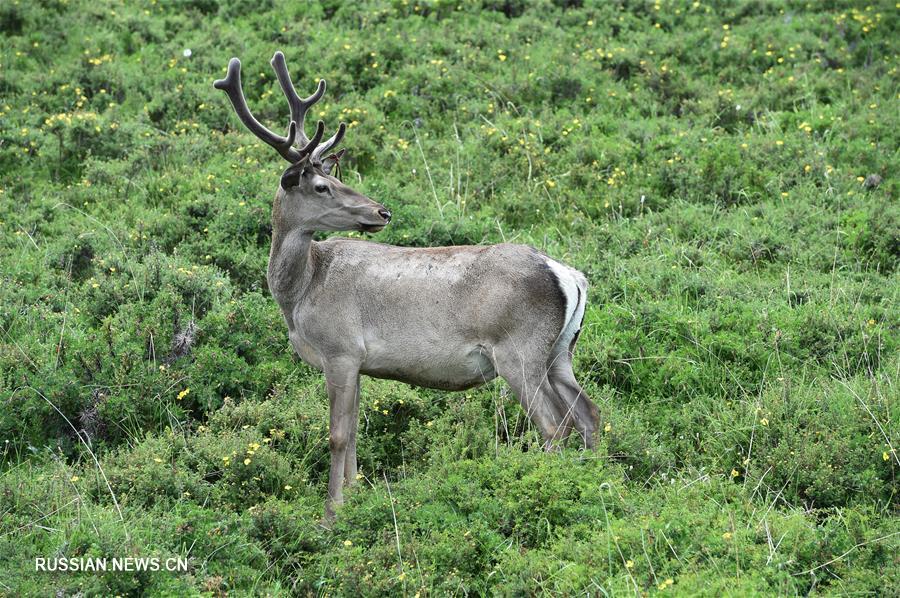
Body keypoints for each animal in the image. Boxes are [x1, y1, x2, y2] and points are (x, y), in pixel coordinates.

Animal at [214, 50, 600, 520]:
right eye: (325, 184)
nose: (381, 211)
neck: (301, 293)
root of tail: (568, 275)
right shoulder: (358, 362)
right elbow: (355, 431)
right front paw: (356, 497)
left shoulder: (340, 349)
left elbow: (337, 435)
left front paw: (331, 515)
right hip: (561, 349)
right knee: (589, 412)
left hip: (518, 349)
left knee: (555, 423)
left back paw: (547, 486)